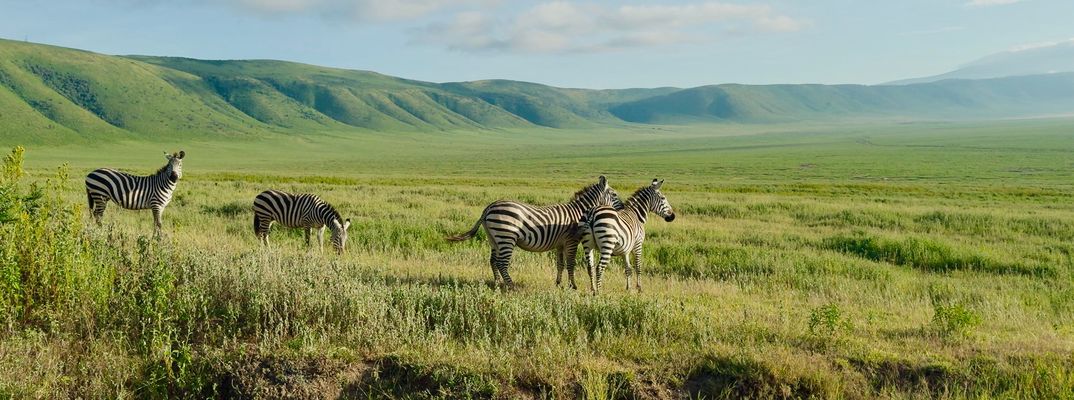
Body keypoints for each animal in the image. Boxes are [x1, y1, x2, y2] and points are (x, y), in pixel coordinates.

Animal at [446, 176, 623, 288]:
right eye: (614, 194)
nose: (622, 208)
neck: (579, 213)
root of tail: (489, 207)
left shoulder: (560, 244)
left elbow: (560, 264)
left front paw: (558, 284)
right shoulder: (571, 241)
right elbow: (571, 264)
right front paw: (573, 286)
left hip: (493, 238)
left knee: (493, 261)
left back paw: (497, 284)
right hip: (506, 236)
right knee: (502, 263)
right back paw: (511, 286)